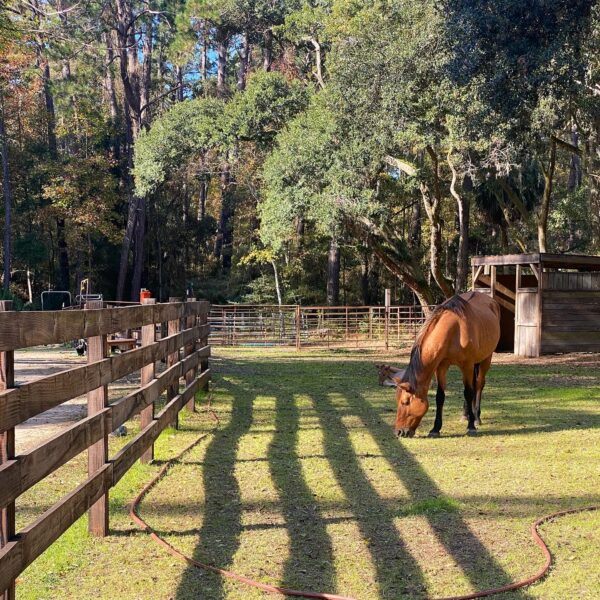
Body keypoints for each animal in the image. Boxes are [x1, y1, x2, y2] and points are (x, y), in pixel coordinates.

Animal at [396, 292, 500, 438]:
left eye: (405, 402)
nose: (399, 432)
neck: (455, 330)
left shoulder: (467, 365)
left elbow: (468, 392)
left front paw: (471, 427)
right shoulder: (442, 366)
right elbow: (440, 396)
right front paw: (435, 429)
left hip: (486, 358)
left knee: (478, 385)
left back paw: (476, 417)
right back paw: (466, 415)